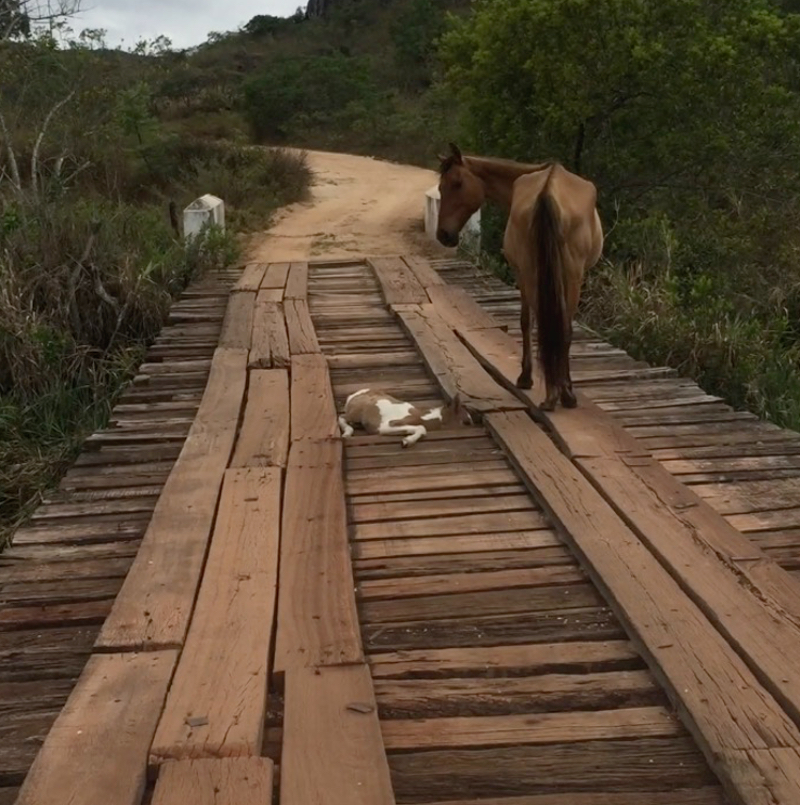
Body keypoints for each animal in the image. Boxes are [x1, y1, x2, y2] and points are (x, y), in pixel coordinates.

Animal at [340, 388, 476, 446]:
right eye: (467, 422)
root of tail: (352, 396)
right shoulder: (386, 426)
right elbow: (421, 428)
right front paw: (406, 441)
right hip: (356, 413)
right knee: (342, 417)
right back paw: (347, 434)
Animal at [434, 142, 604, 412]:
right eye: (440, 187)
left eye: (457, 183)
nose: (443, 235)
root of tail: (549, 191)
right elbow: (531, 323)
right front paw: (529, 378)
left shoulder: (521, 273)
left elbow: (526, 322)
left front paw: (526, 377)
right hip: (566, 276)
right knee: (559, 328)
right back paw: (560, 394)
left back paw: (557, 393)